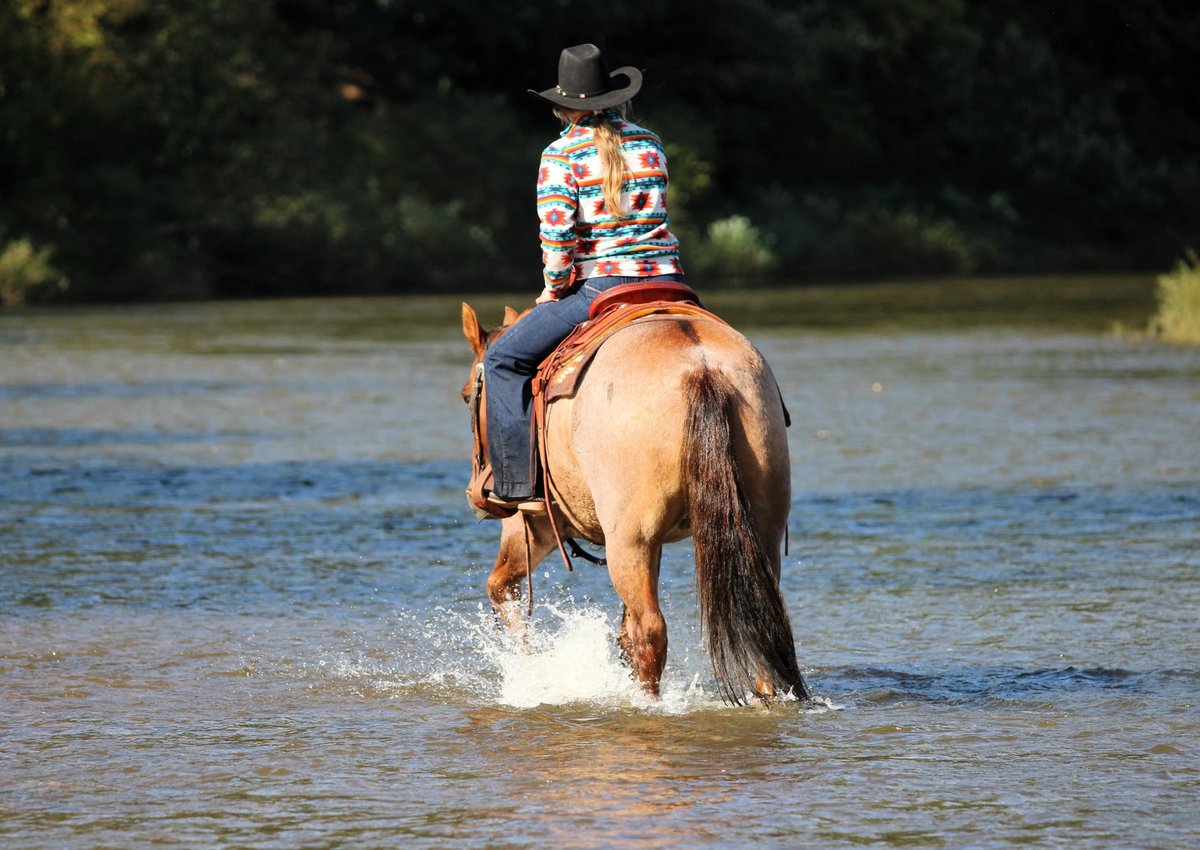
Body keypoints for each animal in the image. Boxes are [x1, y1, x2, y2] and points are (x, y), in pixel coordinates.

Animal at [460, 301, 808, 705]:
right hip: (760, 528)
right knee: (763, 622)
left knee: (650, 632)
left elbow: (500, 587)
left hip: (628, 541)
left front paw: (529, 670)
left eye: (467, 396)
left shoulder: (536, 523)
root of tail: (701, 367)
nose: (477, 493)